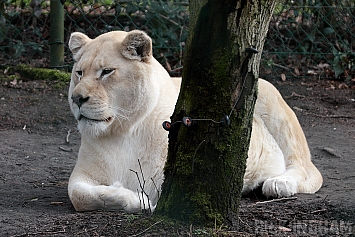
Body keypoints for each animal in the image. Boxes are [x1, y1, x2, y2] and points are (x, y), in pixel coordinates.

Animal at [67, 30, 322, 213]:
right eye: (79, 73)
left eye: (107, 71)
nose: (77, 98)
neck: (124, 131)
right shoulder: (82, 175)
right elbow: (79, 195)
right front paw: (137, 200)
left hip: (273, 106)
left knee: (303, 166)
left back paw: (278, 183)